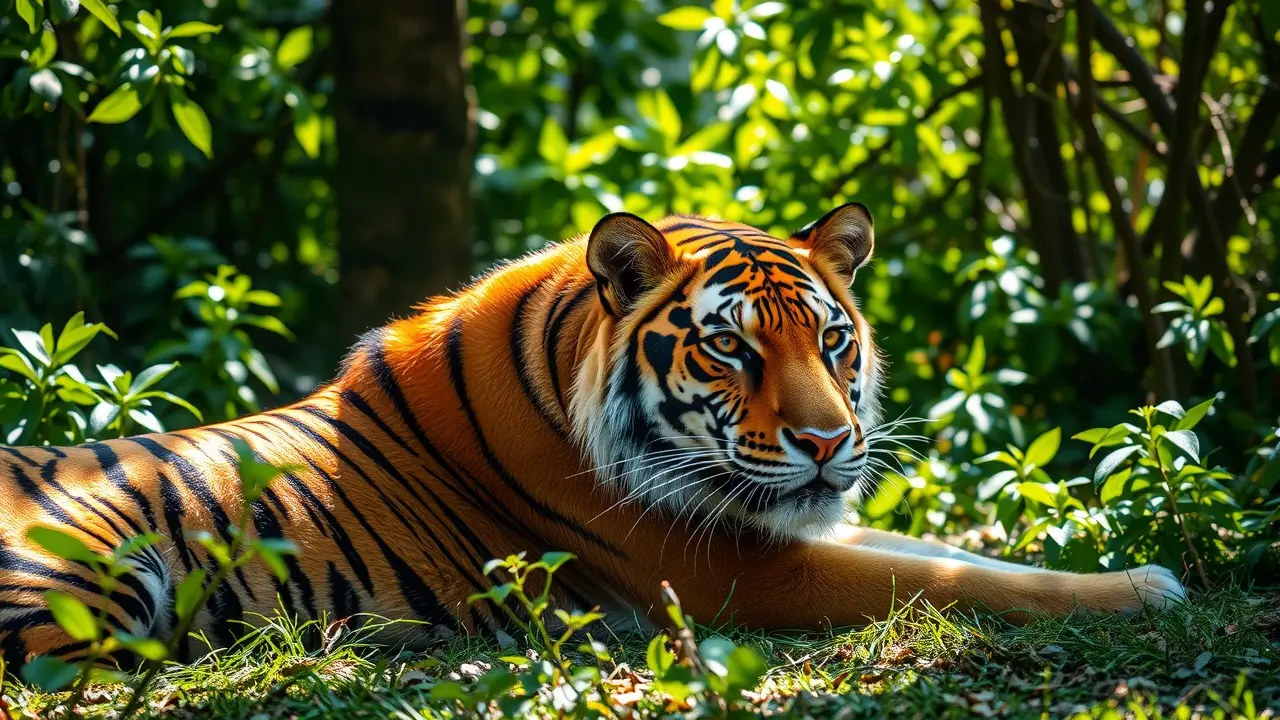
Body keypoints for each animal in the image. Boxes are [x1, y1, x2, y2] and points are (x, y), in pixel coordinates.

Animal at [0, 204, 1185, 670]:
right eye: (730, 349)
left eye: (833, 339)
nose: (825, 444)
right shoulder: (728, 574)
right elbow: (955, 580)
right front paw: (1147, 587)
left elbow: (947, 553)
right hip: (85, 576)